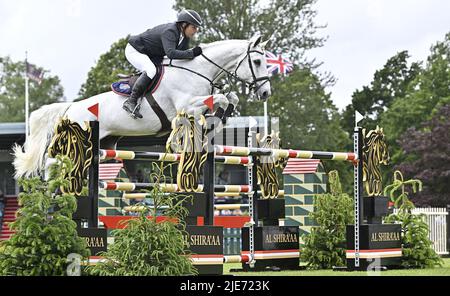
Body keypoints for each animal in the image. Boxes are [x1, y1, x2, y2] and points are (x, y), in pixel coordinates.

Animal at [13, 34, 270, 178]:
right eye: (257, 61)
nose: (266, 92)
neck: (197, 70)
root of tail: (71, 107)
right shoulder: (187, 106)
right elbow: (223, 99)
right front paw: (209, 126)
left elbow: (230, 98)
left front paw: (215, 124)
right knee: (51, 162)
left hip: (105, 148)